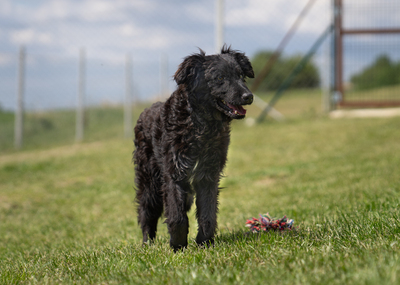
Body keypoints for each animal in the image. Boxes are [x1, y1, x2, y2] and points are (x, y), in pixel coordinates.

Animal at [134, 45, 253, 250]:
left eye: (240, 75)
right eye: (219, 78)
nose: (249, 96)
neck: (201, 125)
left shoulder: (208, 175)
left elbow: (207, 214)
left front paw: (204, 243)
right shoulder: (173, 174)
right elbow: (177, 216)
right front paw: (178, 246)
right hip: (149, 181)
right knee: (146, 213)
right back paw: (147, 244)